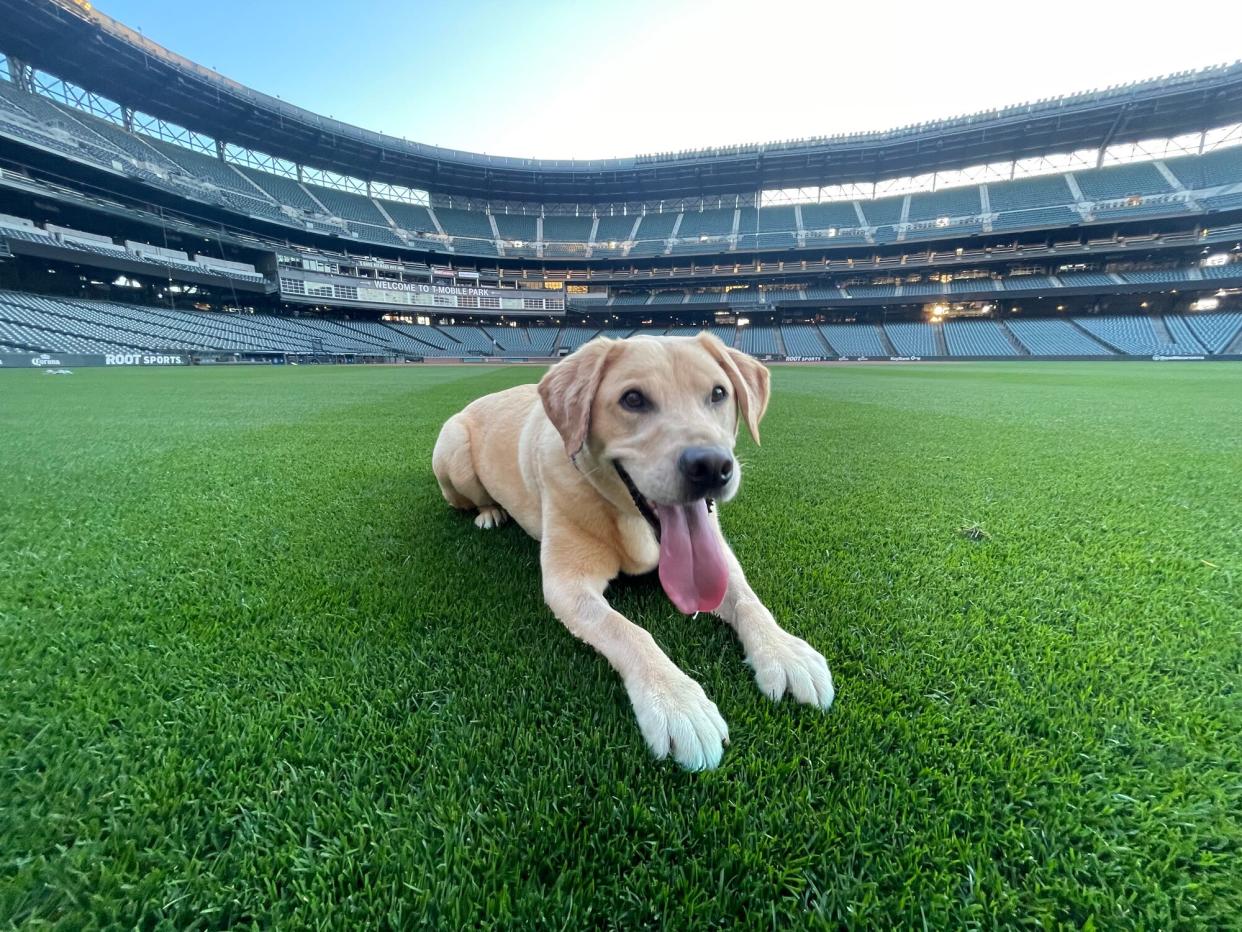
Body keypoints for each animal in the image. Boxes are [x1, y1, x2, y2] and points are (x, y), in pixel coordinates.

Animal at [432, 335, 829, 775]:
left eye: (718, 393)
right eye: (633, 399)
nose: (712, 466)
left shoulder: (719, 553)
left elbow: (747, 599)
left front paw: (784, 651)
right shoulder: (567, 584)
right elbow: (629, 631)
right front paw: (677, 703)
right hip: (453, 452)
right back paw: (490, 512)